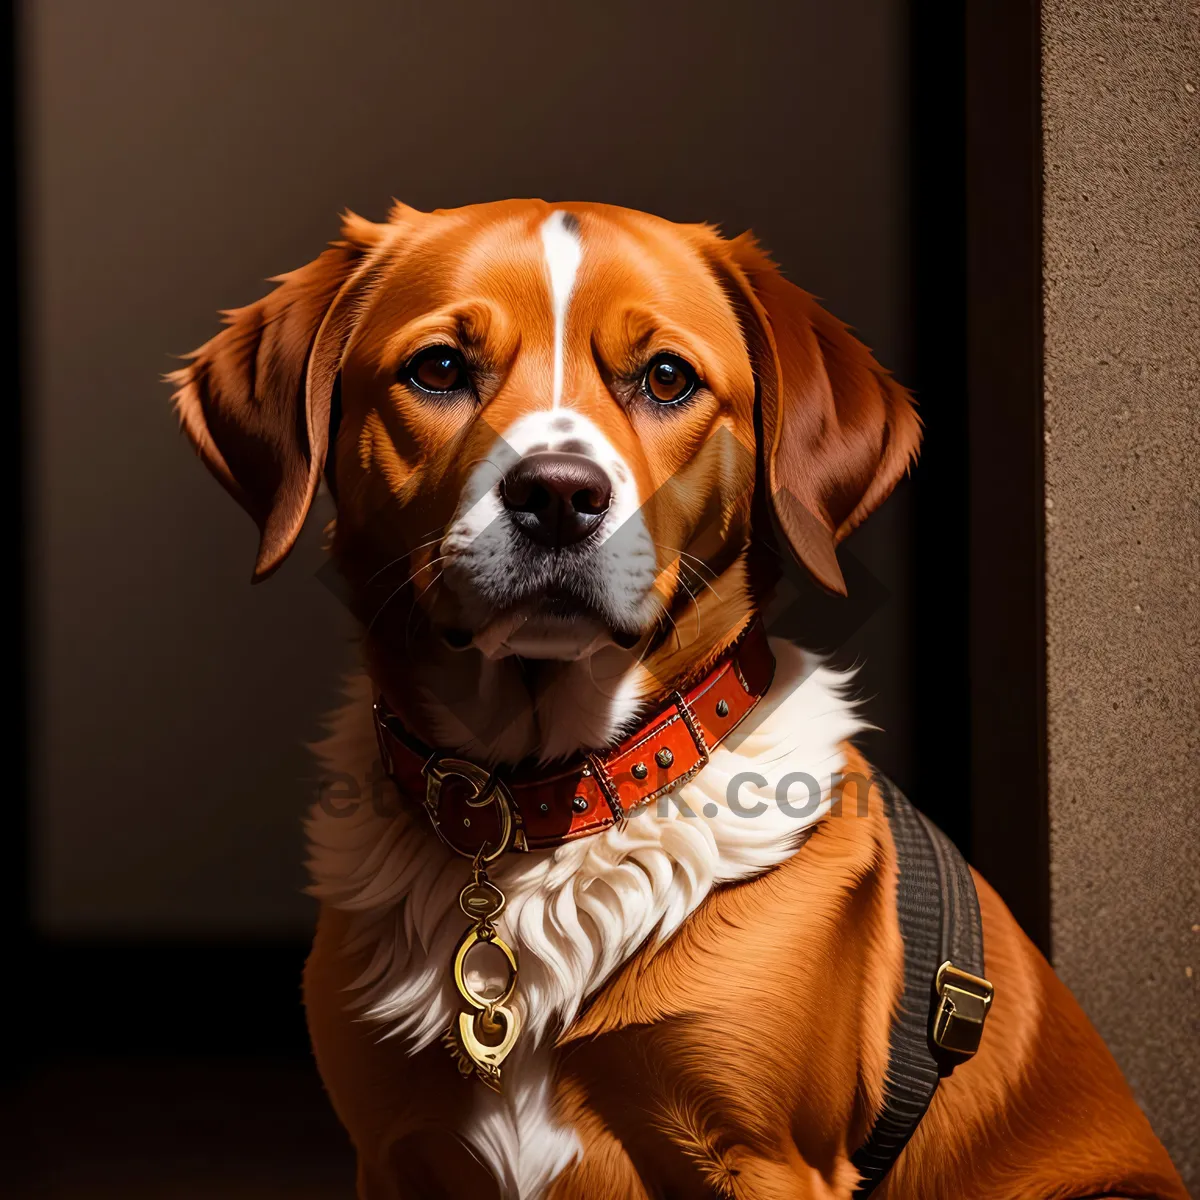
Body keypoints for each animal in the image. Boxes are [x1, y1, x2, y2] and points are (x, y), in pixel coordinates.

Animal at [171, 201, 1190, 1195]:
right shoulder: (394, 1150)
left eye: (666, 378)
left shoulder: (769, 1159)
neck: (538, 811)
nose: (557, 495)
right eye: (440, 368)